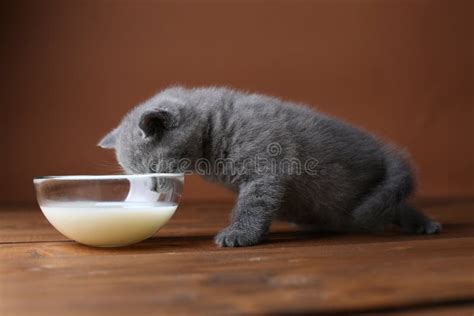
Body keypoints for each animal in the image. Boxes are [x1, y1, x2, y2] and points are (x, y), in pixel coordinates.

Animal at [99, 86, 440, 247]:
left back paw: (424, 224)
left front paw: (239, 234)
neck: (213, 126)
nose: (152, 190)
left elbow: (253, 205)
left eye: (152, 169)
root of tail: (382, 149)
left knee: (393, 201)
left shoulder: (266, 168)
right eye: (135, 176)